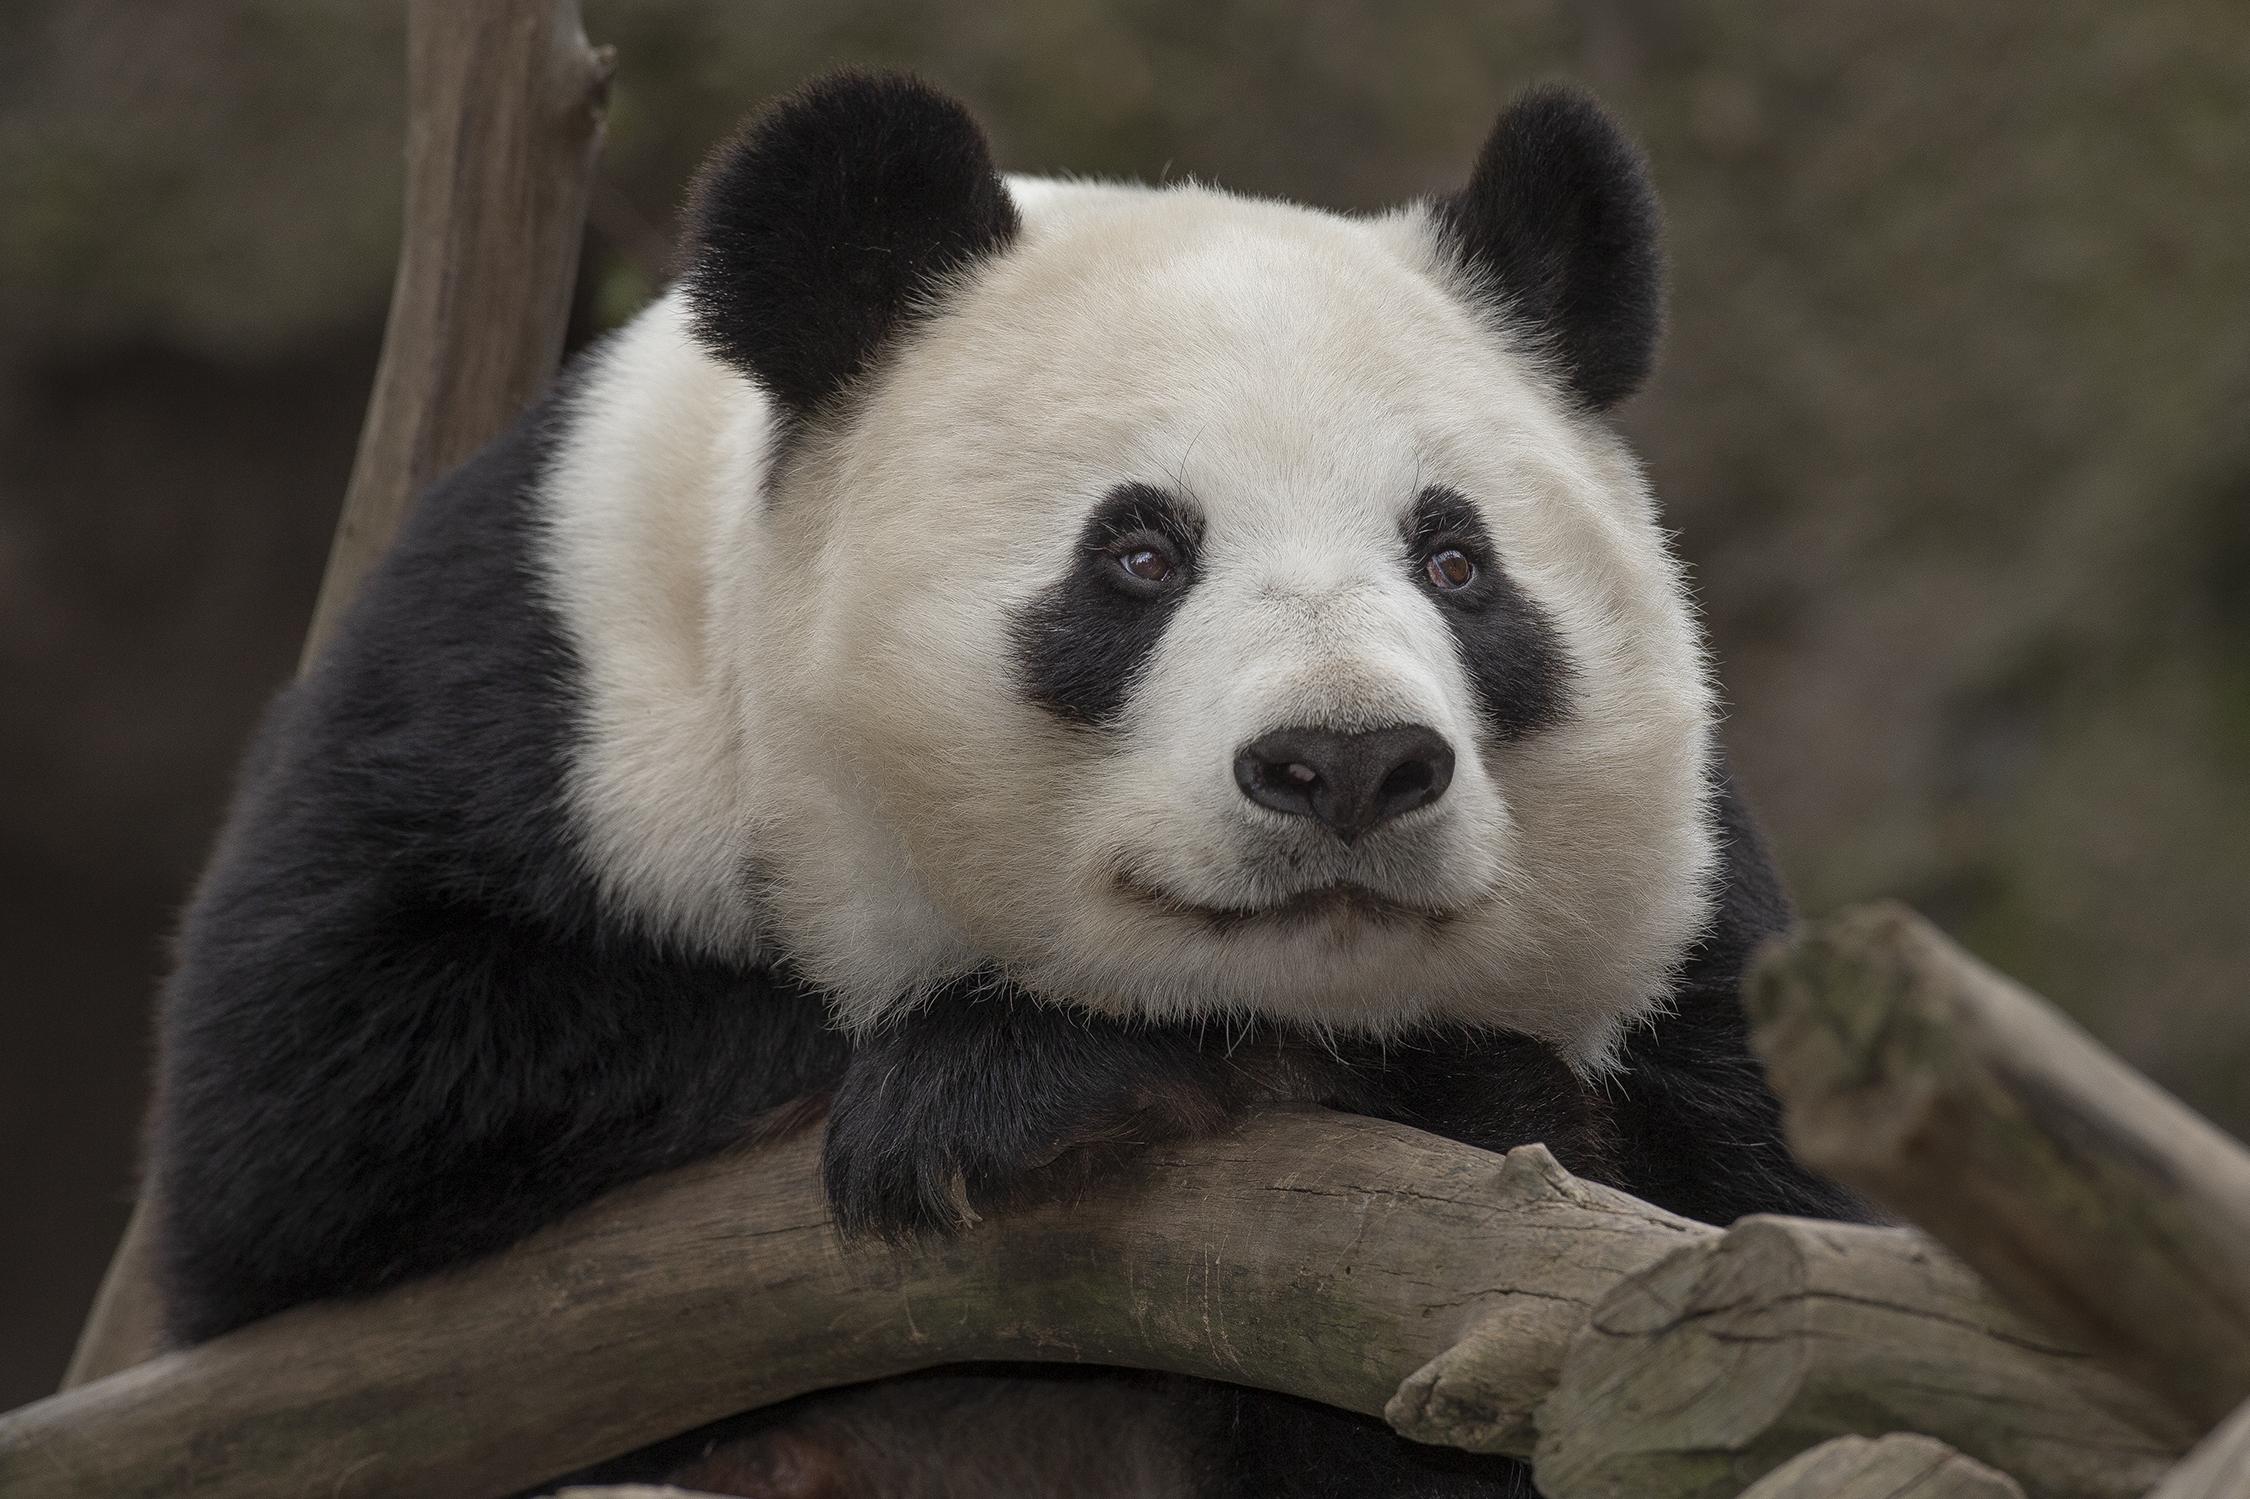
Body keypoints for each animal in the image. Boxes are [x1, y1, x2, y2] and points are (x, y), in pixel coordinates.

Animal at [149, 71, 1856, 1497]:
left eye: (1455, 559)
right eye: (1141, 553)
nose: (1349, 762)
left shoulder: (1696, 955)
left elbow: (1721, 1272)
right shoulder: (541, 668)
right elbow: (312, 1103)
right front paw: (1024, 1073)